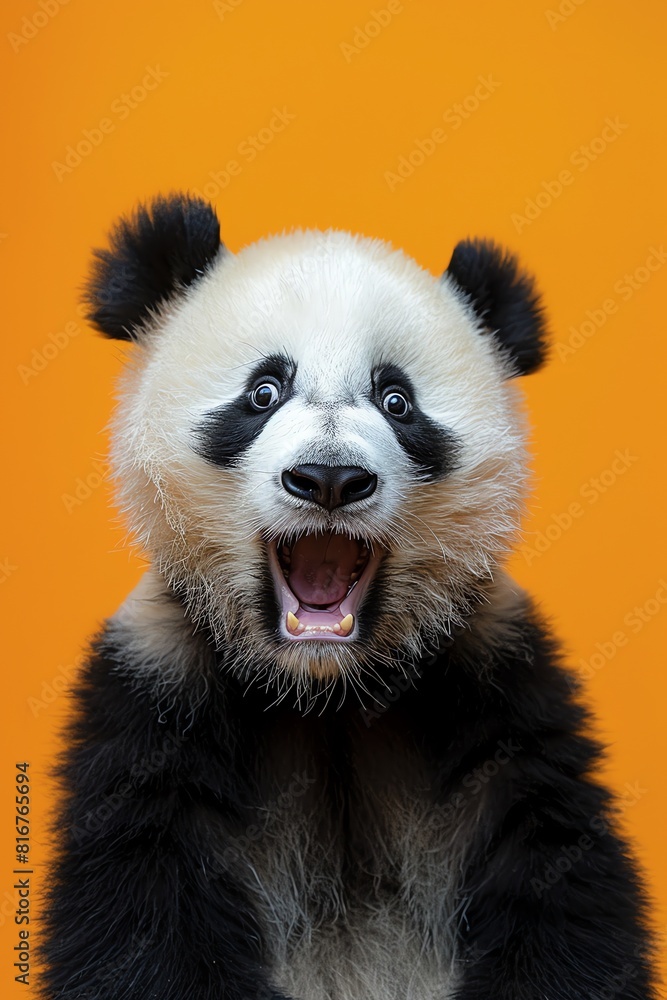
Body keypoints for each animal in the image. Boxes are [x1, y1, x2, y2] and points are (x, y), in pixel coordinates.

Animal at [41, 194, 655, 1000]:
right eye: (263, 392)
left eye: (396, 400)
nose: (329, 478)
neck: (324, 691)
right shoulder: (155, 690)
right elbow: (142, 914)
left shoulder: (497, 680)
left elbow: (561, 887)